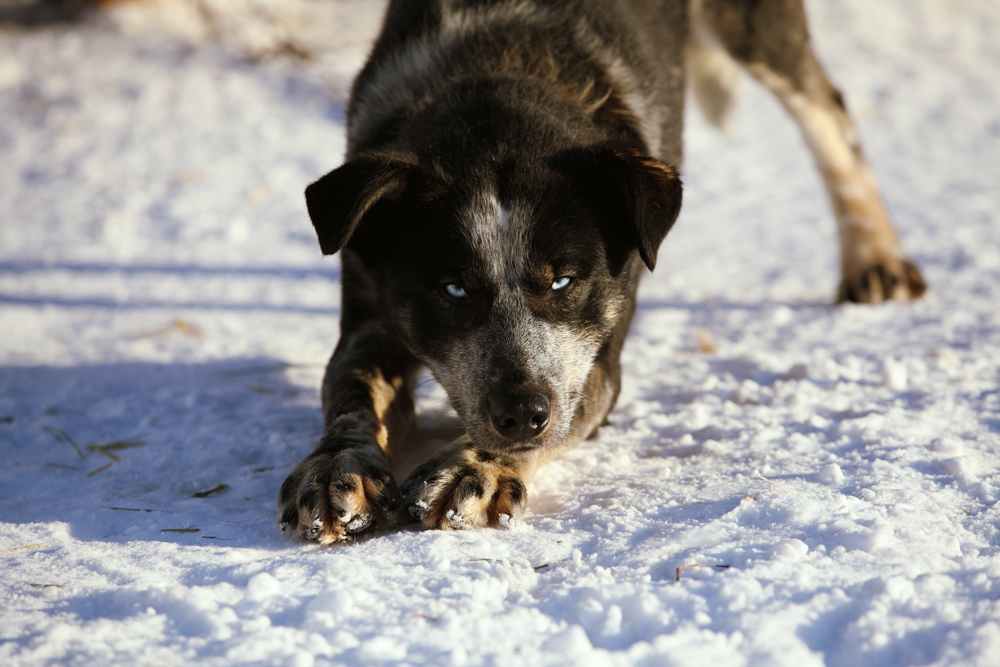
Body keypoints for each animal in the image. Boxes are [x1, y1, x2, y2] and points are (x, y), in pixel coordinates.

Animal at [278, 0, 924, 544]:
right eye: (453, 289)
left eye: (564, 280)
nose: (521, 414)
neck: (499, 68)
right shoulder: (370, 311)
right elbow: (349, 385)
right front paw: (336, 468)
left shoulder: (600, 355)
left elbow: (573, 403)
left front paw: (474, 468)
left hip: (756, 27)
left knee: (825, 106)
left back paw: (876, 259)